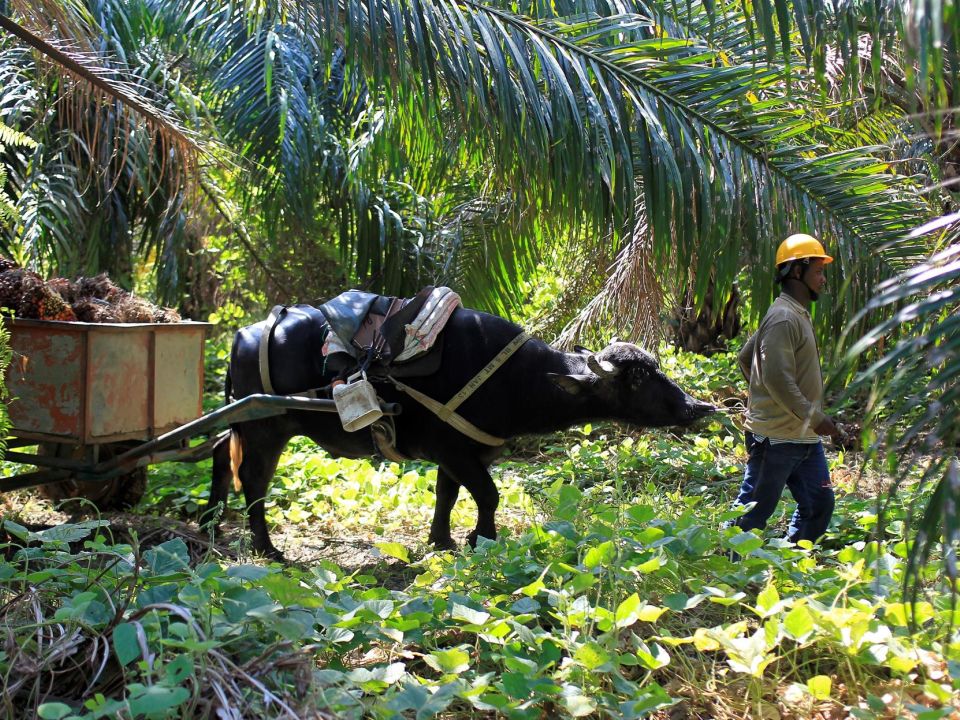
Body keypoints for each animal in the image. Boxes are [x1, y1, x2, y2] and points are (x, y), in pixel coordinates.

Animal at [201, 302, 712, 556]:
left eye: (655, 367)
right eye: (639, 378)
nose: (697, 406)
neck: (515, 379)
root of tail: (245, 334)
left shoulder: (459, 453)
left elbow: (447, 495)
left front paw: (442, 539)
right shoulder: (454, 450)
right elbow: (488, 495)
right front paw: (482, 538)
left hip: (242, 423)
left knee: (219, 456)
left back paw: (209, 523)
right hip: (266, 427)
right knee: (254, 482)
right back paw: (267, 548)